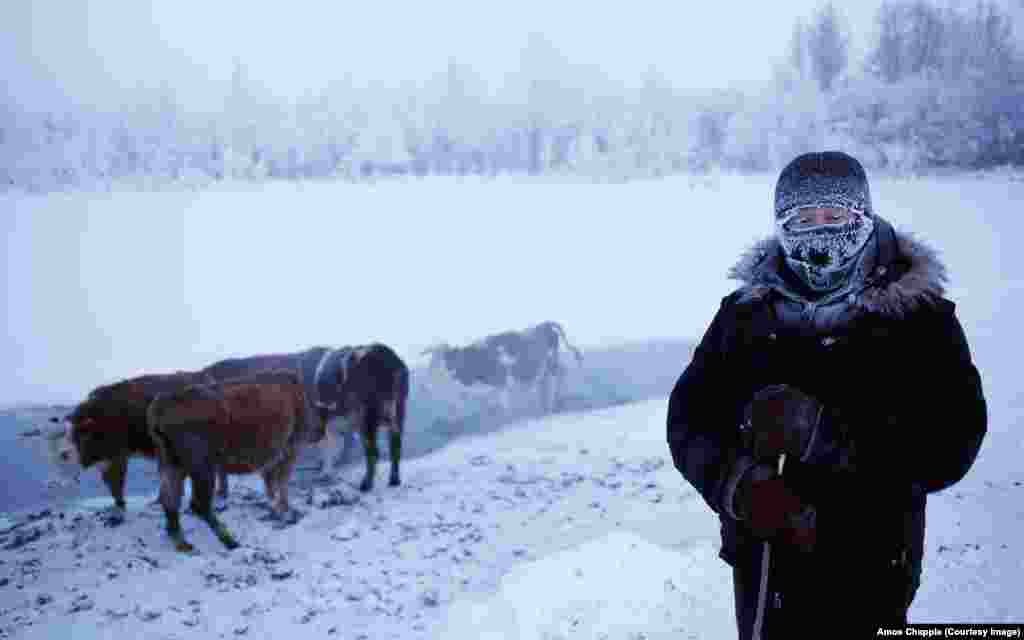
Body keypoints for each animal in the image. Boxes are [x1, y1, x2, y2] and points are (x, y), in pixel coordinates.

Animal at [146, 366, 321, 552]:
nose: (319, 431)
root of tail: (163, 403)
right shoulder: (290, 449)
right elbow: (281, 482)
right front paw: (285, 510)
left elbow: (272, 483)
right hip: (202, 468)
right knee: (198, 504)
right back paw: (230, 541)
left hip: (172, 465)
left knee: (170, 500)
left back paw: (182, 542)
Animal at [423, 319, 585, 413]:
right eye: (433, 358)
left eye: (444, 356)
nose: (432, 372)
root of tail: (545, 324)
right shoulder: (495, 387)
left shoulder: (501, 381)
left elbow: (504, 404)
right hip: (546, 367)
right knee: (548, 380)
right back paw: (547, 405)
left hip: (551, 361)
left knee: (560, 374)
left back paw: (555, 402)